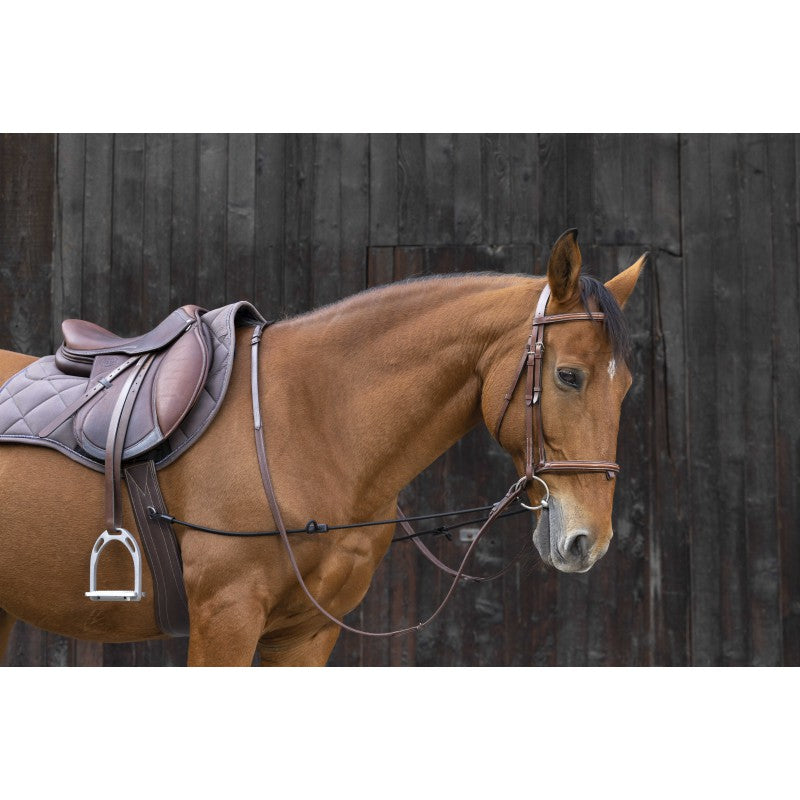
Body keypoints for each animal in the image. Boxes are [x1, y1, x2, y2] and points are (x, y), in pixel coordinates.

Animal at [0, 230, 645, 666]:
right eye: (568, 376)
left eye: (626, 386)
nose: (588, 541)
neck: (311, 424)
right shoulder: (225, 618)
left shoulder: (308, 632)